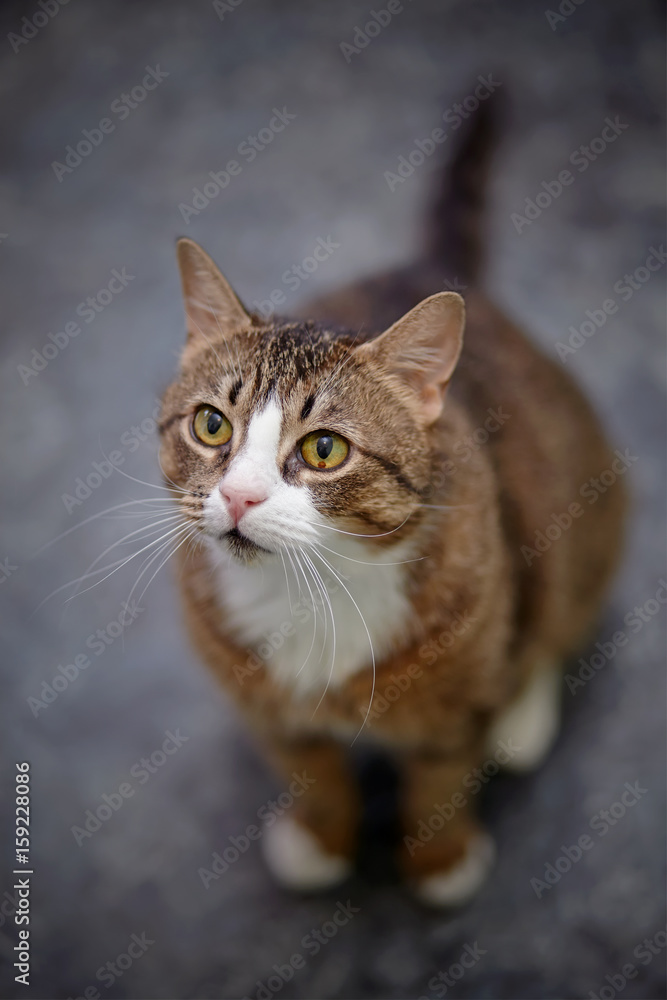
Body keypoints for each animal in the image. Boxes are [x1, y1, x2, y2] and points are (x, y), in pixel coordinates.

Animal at [158, 94, 628, 908]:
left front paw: (439, 857)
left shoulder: (456, 693)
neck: (308, 591)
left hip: (584, 505)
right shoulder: (270, 710)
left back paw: (522, 716)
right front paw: (321, 837)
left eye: (324, 450)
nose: (239, 495)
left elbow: (441, 778)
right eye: (211, 425)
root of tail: (424, 265)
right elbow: (312, 775)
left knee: (556, 607)